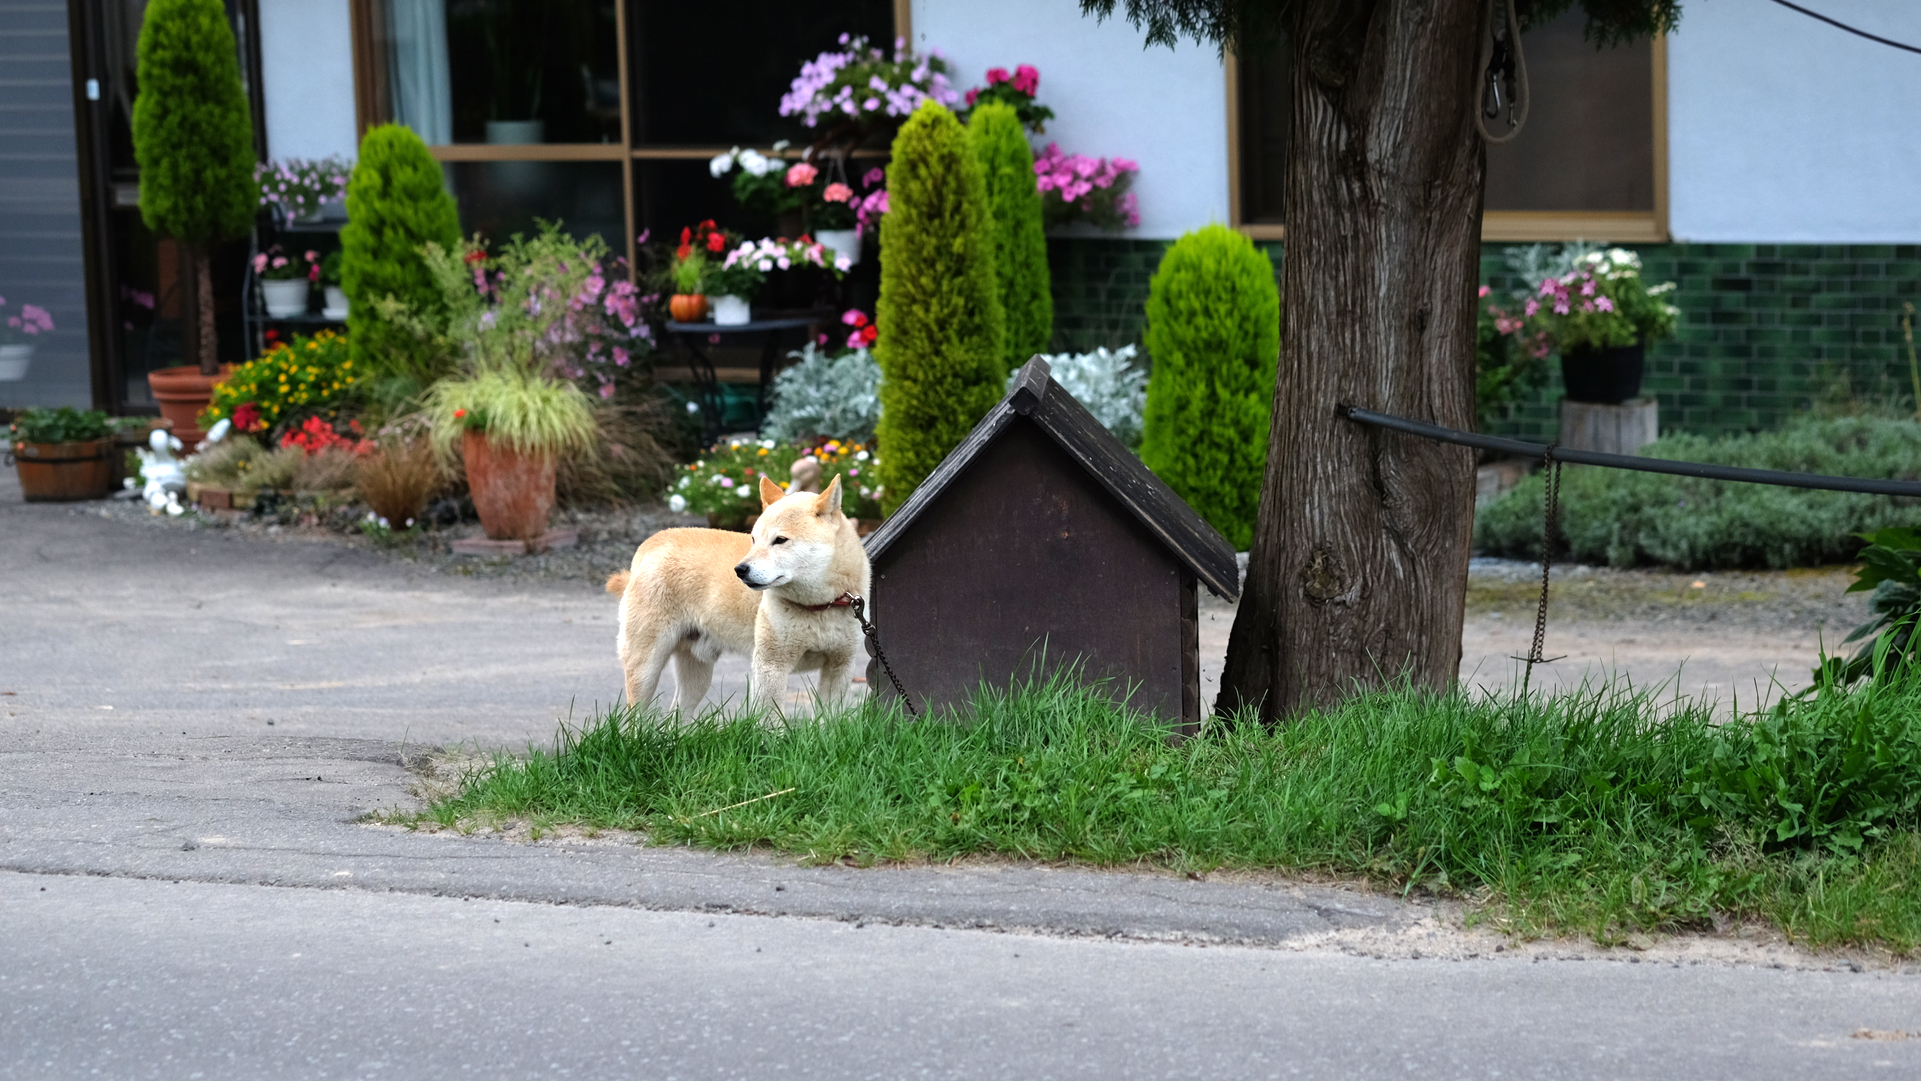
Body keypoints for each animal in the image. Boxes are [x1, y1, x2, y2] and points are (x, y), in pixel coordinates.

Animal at [607, 476, 872, 714]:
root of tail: (650, 544)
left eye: (780, 540)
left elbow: (830, 721)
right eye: (754, 539)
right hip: (645, 667)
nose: (740, 570)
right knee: (636, 719)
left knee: (677, 717)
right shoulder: (771, 667)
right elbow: (772, 722)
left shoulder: (840, 666)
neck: (820, 607)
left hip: (696, 672)